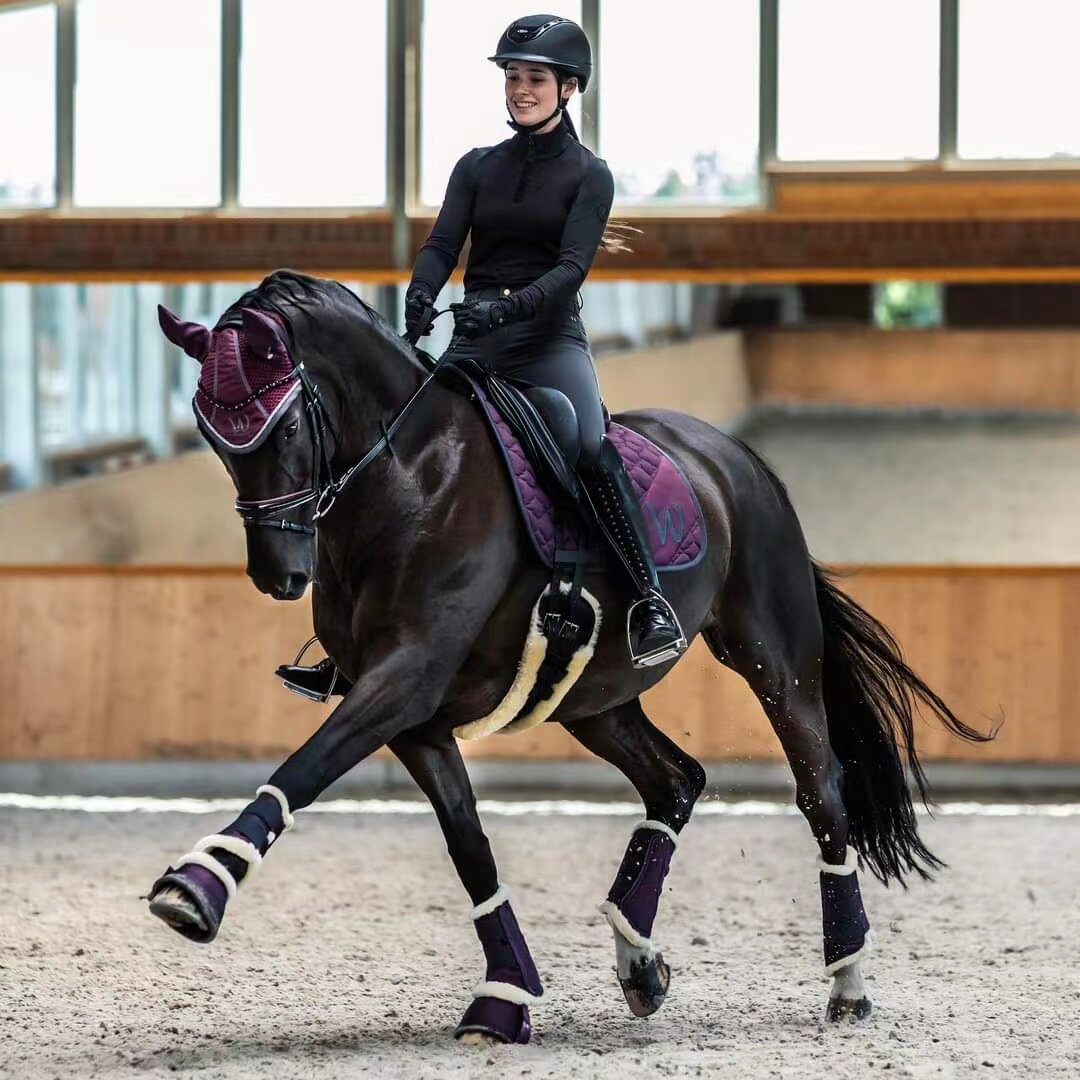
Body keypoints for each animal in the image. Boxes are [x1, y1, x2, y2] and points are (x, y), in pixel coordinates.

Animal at [149, 269, 988, 1045]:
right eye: (214, 437)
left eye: (286, 424)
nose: (278, 573)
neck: (411, 477)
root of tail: (734, 456)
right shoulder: (414, 717)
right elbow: (471, 849)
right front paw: (504, 997)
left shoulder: (406, 678)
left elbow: (306, 766)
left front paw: (198, 886)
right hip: (594, 698)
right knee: (676, 781)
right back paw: (639, 963)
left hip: (774, 662)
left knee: (822, 794)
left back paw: (847, 982)